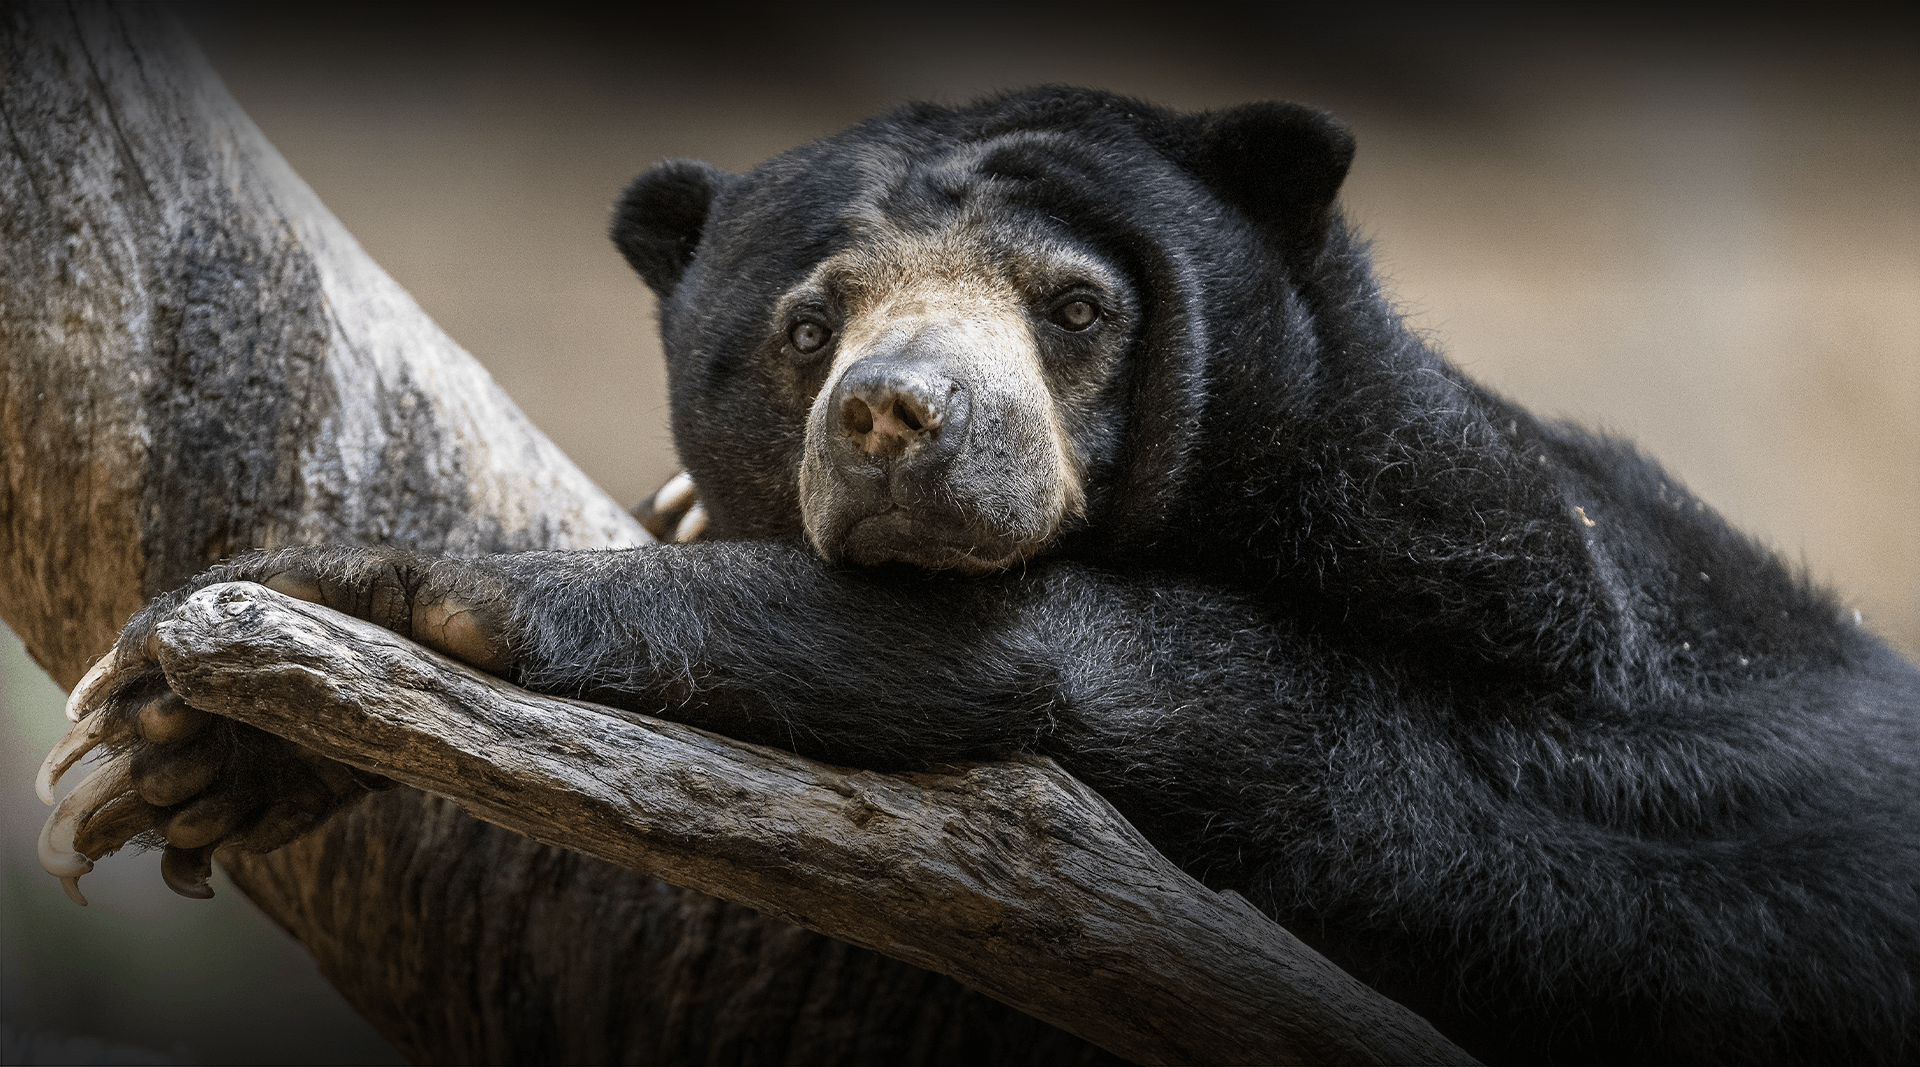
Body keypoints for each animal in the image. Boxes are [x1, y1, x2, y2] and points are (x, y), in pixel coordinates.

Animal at [39, 87, 1920, 1064]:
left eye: (1077, 306)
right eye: (808, 327)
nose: (898, 411)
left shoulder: (1569, 670)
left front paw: (366, 590)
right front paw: (173, 752)